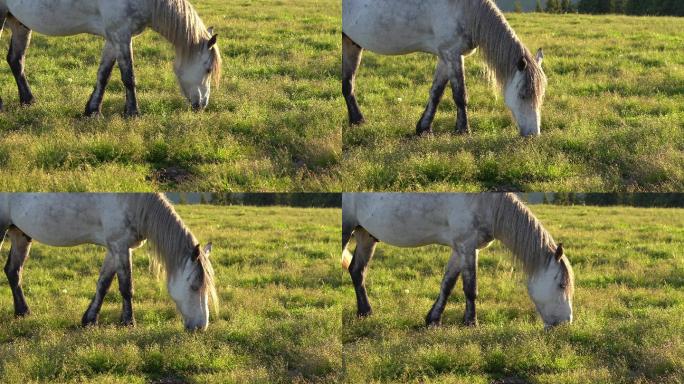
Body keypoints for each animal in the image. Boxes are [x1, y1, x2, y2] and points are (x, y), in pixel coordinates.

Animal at [0, 0, 220, 115]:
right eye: (208, 69)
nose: (202, 105)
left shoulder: (113, 38)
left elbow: (103, 75)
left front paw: (92, 110)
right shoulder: (121, 35)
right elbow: (128, 77)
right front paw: (133, 112)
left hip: (19, 23)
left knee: (16, 60)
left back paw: (28, 101)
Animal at [0, 194, 218, 332]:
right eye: (194, 286)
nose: (201, 327)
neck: (135, 202)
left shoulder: (115, 248)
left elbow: (103, 284)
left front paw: (89, 320)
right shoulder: (120, 246)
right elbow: (126, 287)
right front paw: (128, 323)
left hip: (19, 233)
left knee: (13, 271)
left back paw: (23, 312)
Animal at [342, 194, 572, 328]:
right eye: (561, 285)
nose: (565, 324)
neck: (487, 204)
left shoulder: (460, 249)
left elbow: (448, 284)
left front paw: (433, 319)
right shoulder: (466, 246)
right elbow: (471, 288)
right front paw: (471, 322)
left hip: (366, 235)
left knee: (357, 271)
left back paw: (365, 312)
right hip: (348, 230)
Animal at [344, 0, 548, 137]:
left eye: (541, 96)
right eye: (523, 95)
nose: (533, 135)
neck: (465, 10)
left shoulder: (445, 57)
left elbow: (436, 93)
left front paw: (424, 129)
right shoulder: (452, 54)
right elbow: (460, 95)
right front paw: (463, 130)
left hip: (351, 43)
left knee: (348, 84)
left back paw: (357, 121)